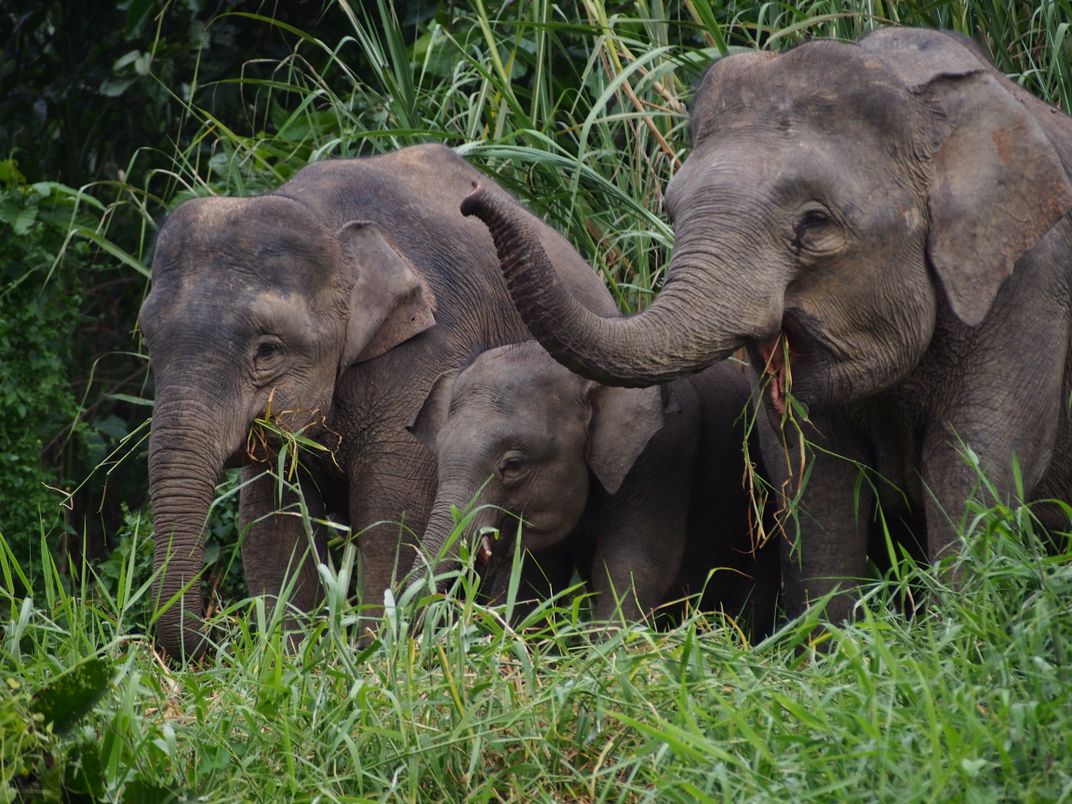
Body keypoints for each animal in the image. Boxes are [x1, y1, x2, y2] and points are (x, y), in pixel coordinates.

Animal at [139, 144, 621, 660]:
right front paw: (291, 658)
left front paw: (375, 655)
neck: (327, 222)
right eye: (148, 342)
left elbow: (392, 512)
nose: (218, 636)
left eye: (267, 350)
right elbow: (273, 520)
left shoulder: (427, 354)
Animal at [463, 28, 1072, 626]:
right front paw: (833, 641)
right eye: (672, 208)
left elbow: (973, 461)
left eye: (815, 223)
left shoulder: (1031, 285)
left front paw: (960, 628)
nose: (473, 194)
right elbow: (811, 473)